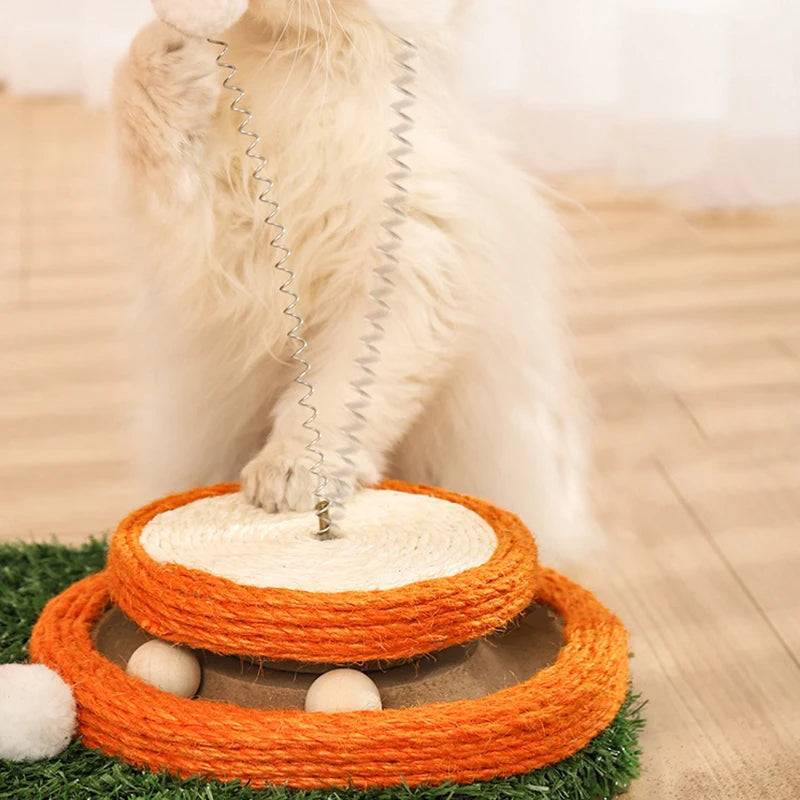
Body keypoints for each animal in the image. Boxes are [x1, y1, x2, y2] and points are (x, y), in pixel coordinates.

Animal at [111, 0, 588, 560]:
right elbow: (146, 105)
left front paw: (293, 477)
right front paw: (171, 51)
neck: (290, 69)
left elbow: (332, 406)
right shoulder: (206, 240)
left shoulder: (402, 275)